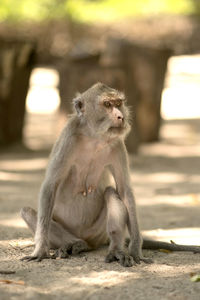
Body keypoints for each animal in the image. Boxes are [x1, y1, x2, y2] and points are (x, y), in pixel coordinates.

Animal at [19, 82, 200, 268]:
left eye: (118, 103)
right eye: (107, 104)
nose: (120, 116)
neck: (94, 137)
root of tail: (90, 239)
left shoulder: (117, 144)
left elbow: (124, 189)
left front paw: (135, 248)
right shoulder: (68, 138)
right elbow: (50, 186)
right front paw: (41, 249)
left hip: (98, 232)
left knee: (110, 192)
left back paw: (114, 249)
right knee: (27, 211)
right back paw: (74, 244)